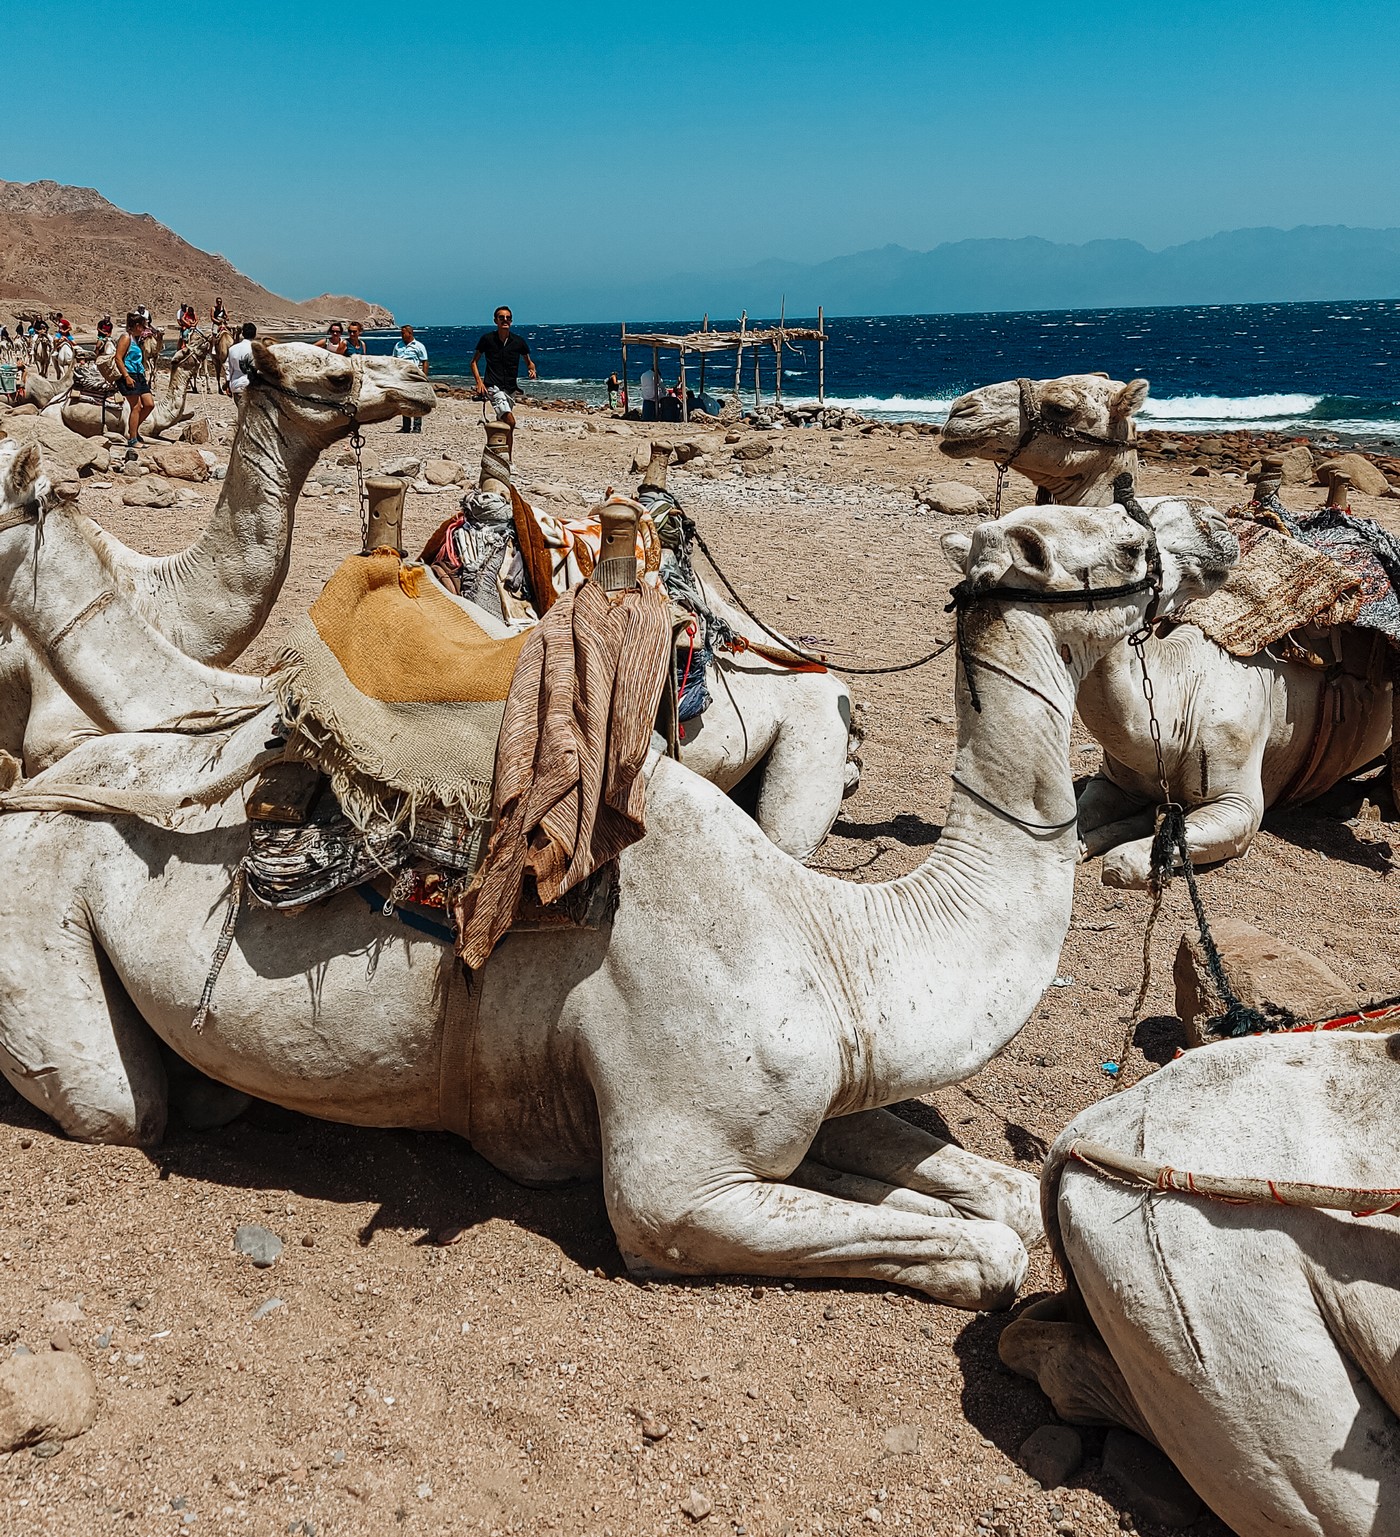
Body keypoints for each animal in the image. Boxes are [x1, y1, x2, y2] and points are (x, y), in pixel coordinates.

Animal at [0, 439, 1235, 1303]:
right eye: (1120, 545)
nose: (1216, 535)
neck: (839, 938)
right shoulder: (675, 1187)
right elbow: (983, 1251)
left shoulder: (814, 1094)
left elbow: (1003, 1197)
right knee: (119, 1103)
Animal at [940, 375, 1389, 891]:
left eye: (1061, 407)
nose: (958, 413)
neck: (1179, 704)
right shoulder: (1113, 781)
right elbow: (1083, 825)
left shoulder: (1239, 805)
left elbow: (1125, 862)